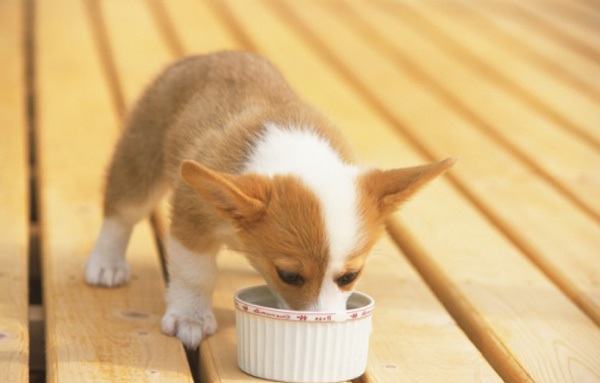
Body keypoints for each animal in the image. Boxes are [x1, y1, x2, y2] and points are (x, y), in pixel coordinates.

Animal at [85, 50, 454, 348]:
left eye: (350, 277)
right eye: (289, 276)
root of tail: (210, 56)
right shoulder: (192, 221)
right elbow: (194, 273)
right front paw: (191, 318)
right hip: (141, 158)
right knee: (121, 212)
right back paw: (106, 264)